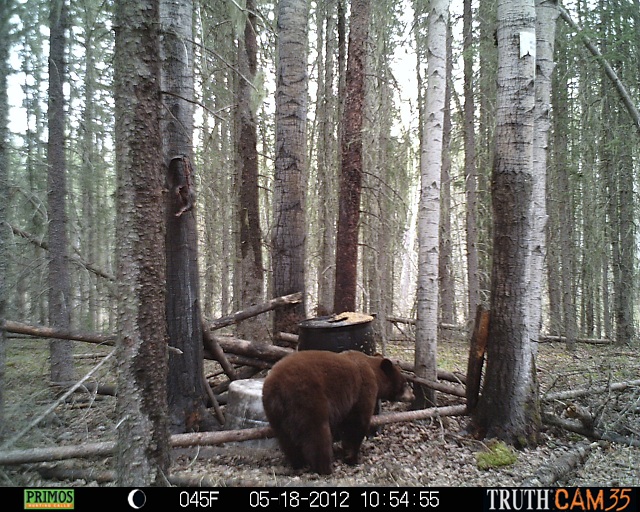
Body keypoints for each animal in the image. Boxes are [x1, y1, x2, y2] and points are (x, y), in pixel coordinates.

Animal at [262, 350, 416, 474]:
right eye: (405, 383)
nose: (413, 396)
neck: (374, 372)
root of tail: (277, 387)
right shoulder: (363, 389)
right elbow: (356, 423)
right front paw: (352, 458)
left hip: (274, 412)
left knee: (285, 438)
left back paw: (298, 463)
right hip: (307, 399)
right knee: (317, 432)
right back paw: (325, 467)